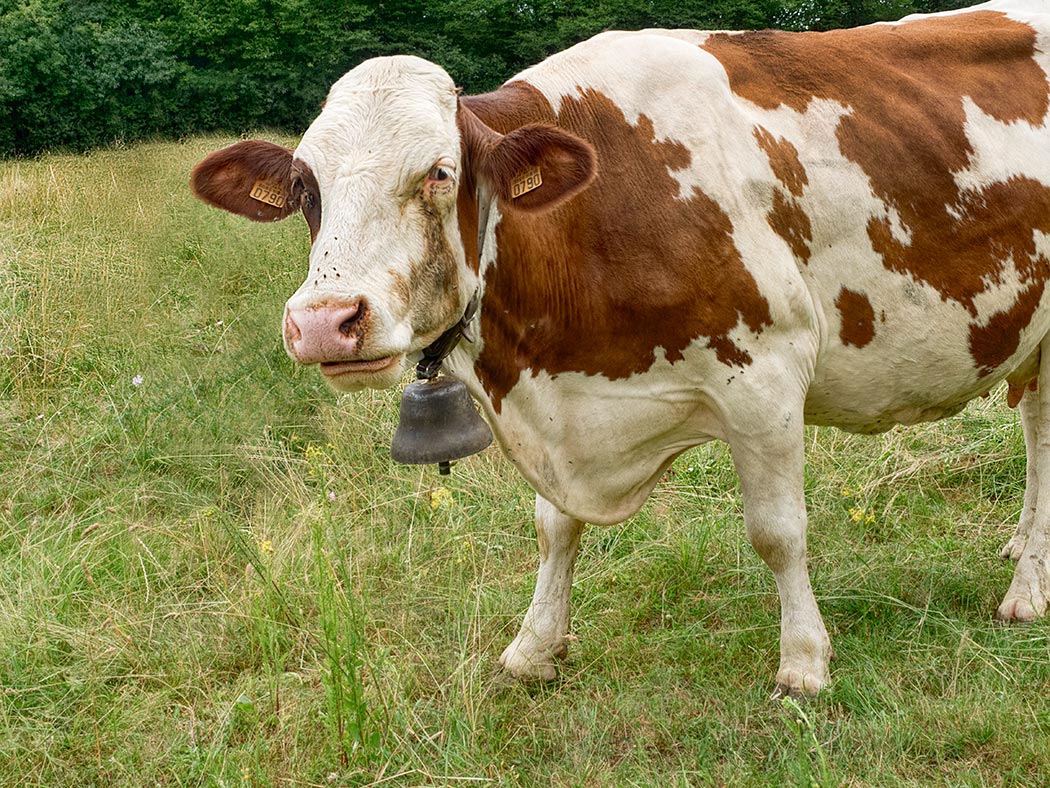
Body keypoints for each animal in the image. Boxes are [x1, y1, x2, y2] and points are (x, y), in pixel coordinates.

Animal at [191, 3, 1050, 701]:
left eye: (437, 172)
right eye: (304, 186)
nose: (324, 322)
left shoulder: (766, 374)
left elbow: (777, 532)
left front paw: (804, 662)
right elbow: (554, 527)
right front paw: (534, 647)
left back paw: (1026, 588)